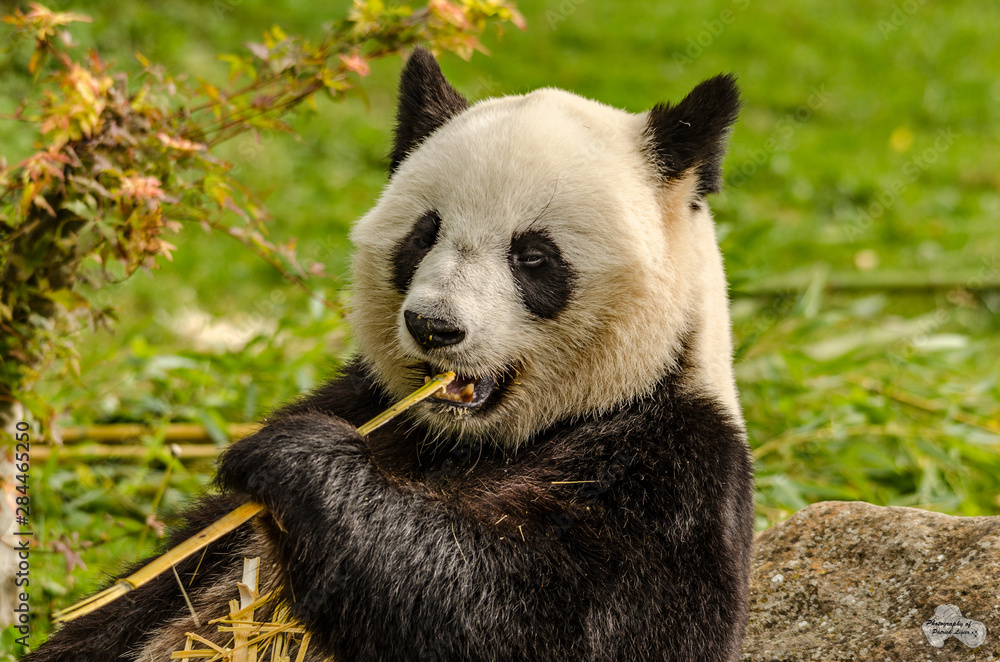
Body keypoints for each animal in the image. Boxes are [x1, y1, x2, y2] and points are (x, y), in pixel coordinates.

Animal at [27, 48, 753, 662]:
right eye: (423, 234)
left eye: (533, 256)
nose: (433, 326)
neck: (470, 442)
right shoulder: (364, 400)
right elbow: (151, 590)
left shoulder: (667, 476)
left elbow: (535, 618)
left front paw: (291, 459)